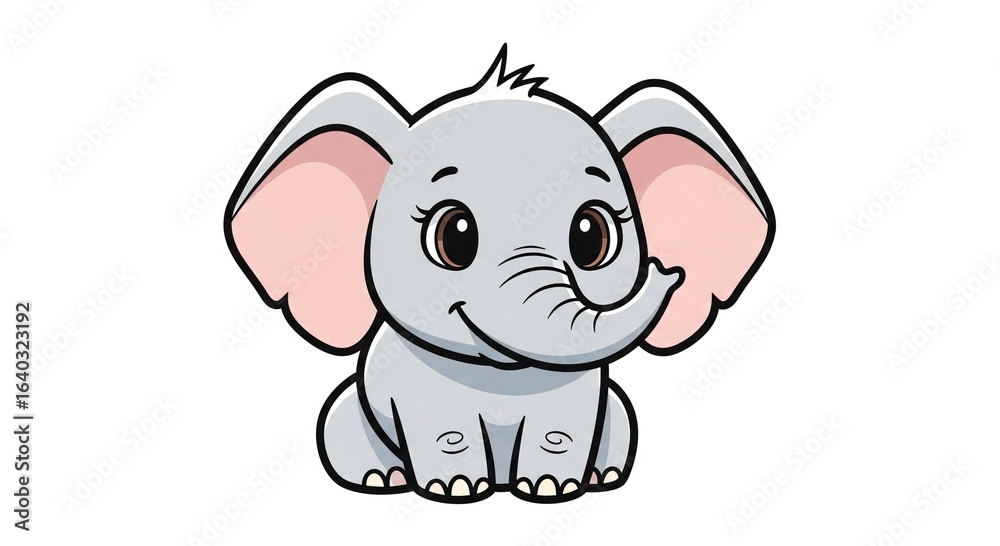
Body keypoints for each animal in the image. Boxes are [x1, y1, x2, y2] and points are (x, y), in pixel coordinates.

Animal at [223, 46, 774, 504]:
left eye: (591, 235)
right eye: (454, 234)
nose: (667, 269)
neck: (501, 376)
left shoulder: (582, 385)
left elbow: (560, 431)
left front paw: (552, 489)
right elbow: (444, 430)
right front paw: (456, 489)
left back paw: (603, 477)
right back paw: (383, 479)